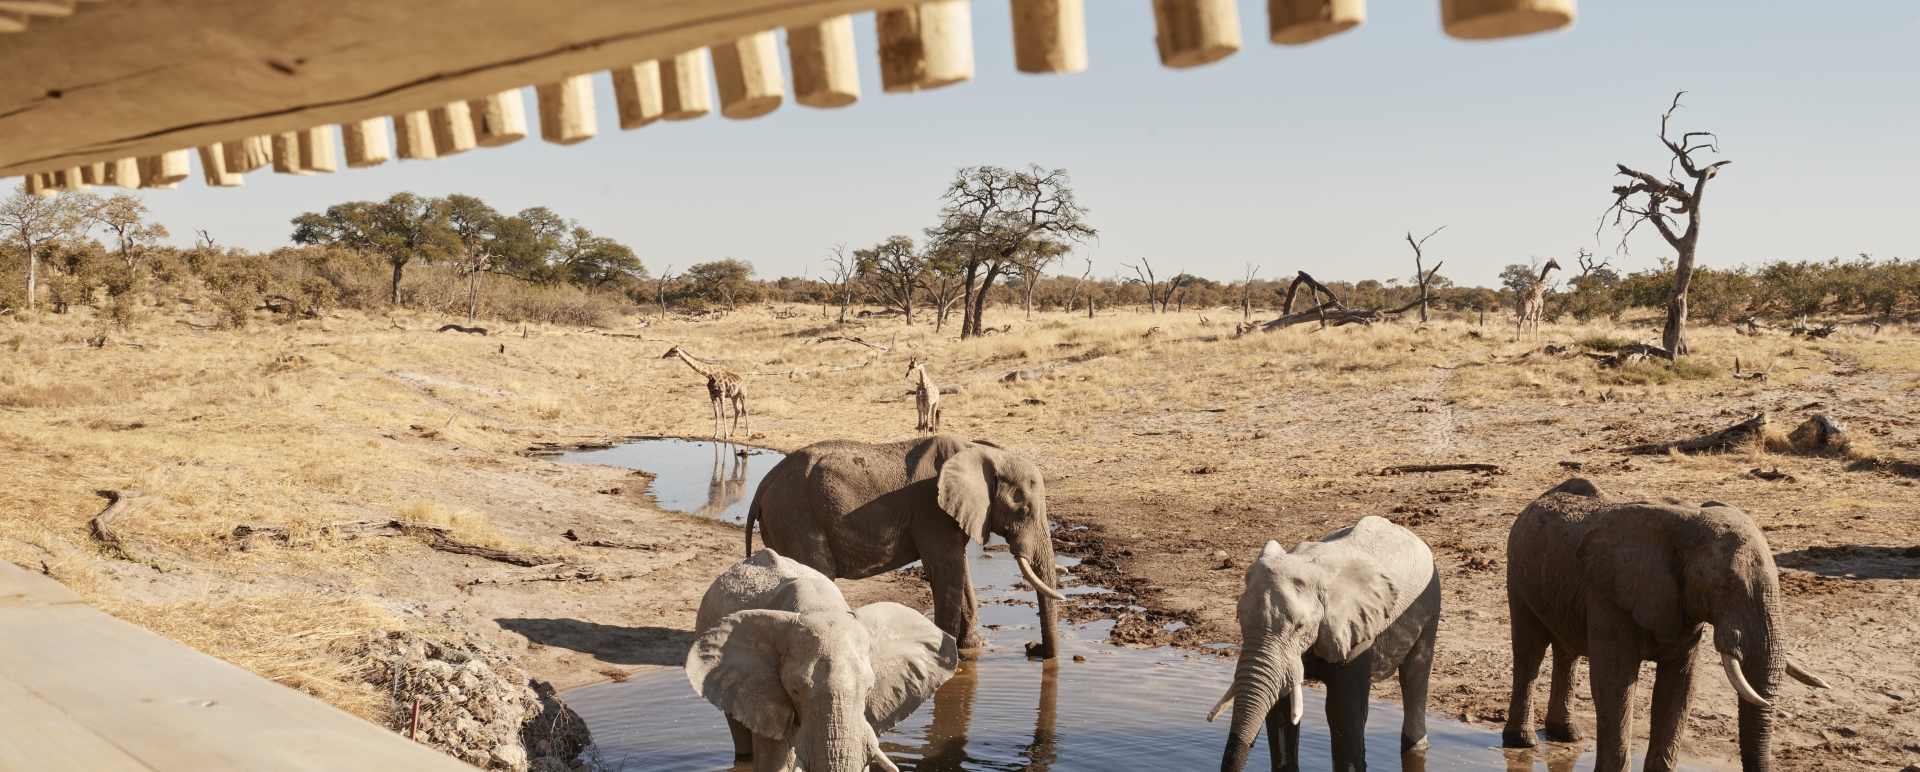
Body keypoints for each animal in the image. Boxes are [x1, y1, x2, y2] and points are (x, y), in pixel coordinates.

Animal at [743, 435, 1068, 658]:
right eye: (1023, 510)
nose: (1033, 648)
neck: (981, 452)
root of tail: (762, 486)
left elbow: (960, 572)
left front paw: (971, 649)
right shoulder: (931, 511)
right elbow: (947, 571)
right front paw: (948, 655)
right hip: (795, 517)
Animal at [1211, 515, 1442, 772]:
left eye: (1300, 626)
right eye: (1239, 618)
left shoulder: (1356, 634)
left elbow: (1343, 711)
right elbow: (1280, 709)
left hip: (1431, 600)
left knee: (1415, 673)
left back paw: (1416, 745)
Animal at [1503, 479, 1830, 772]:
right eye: (1724, 585)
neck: (1688, 523)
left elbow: (1679, 687)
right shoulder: (1610, 595)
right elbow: (1615, 684)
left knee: (1566, 652)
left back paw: (1567, 735)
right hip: (1518, 577)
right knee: (1530, 652)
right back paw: (1522, 742)